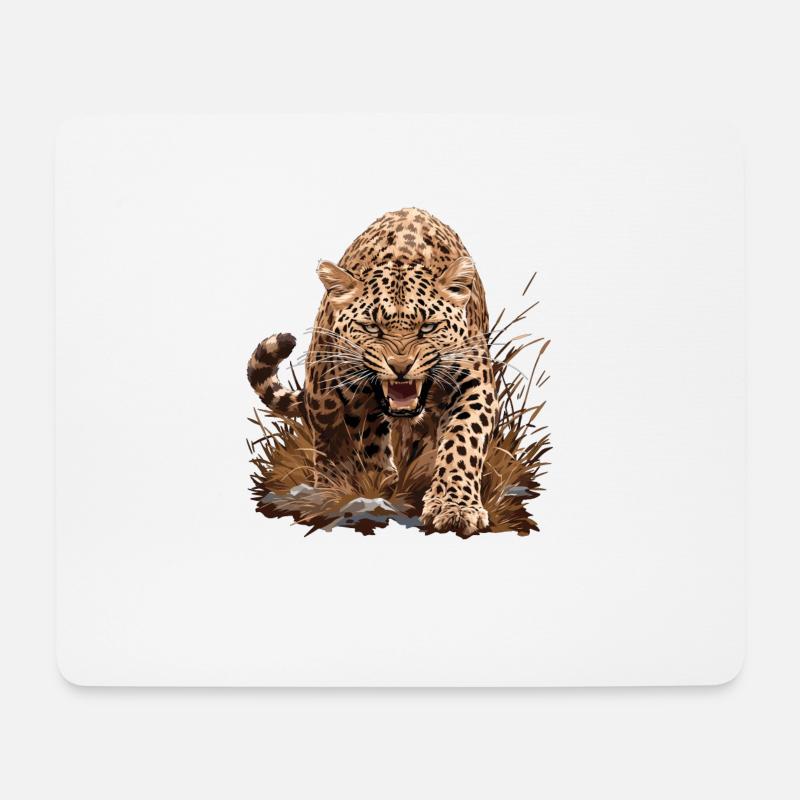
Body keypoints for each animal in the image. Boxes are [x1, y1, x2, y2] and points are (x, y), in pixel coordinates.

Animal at [247, 208, 499, 537]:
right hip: (322, 386)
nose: (400, 366)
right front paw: (367, 486)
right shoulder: (346, 394)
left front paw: (454, 507)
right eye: (371, 327)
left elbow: (462, 441)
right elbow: (358, 441)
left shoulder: (472, 383)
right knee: (329, 438)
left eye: (428, 327)